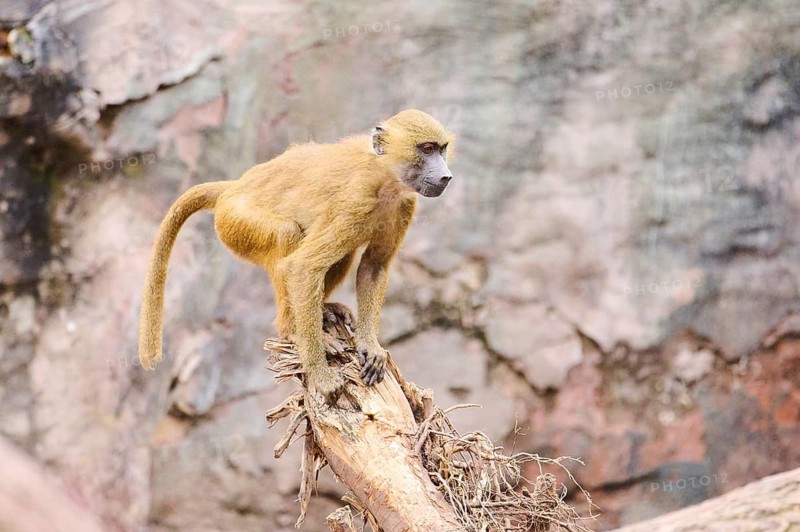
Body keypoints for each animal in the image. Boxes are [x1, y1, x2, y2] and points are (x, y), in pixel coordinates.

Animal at [138, 109, 455, 401]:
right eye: (426, 149)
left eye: (441, 149)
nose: (446, 176)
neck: (383, 175)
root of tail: (235, 185)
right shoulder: (355, 201)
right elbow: (303, 267)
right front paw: (321, 375)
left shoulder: (405, 204)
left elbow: (373, 266)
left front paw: (370, 346)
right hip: (236, 221)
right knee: (288, 236)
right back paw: (292, 332)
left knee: (340, 256)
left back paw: (325, 310)